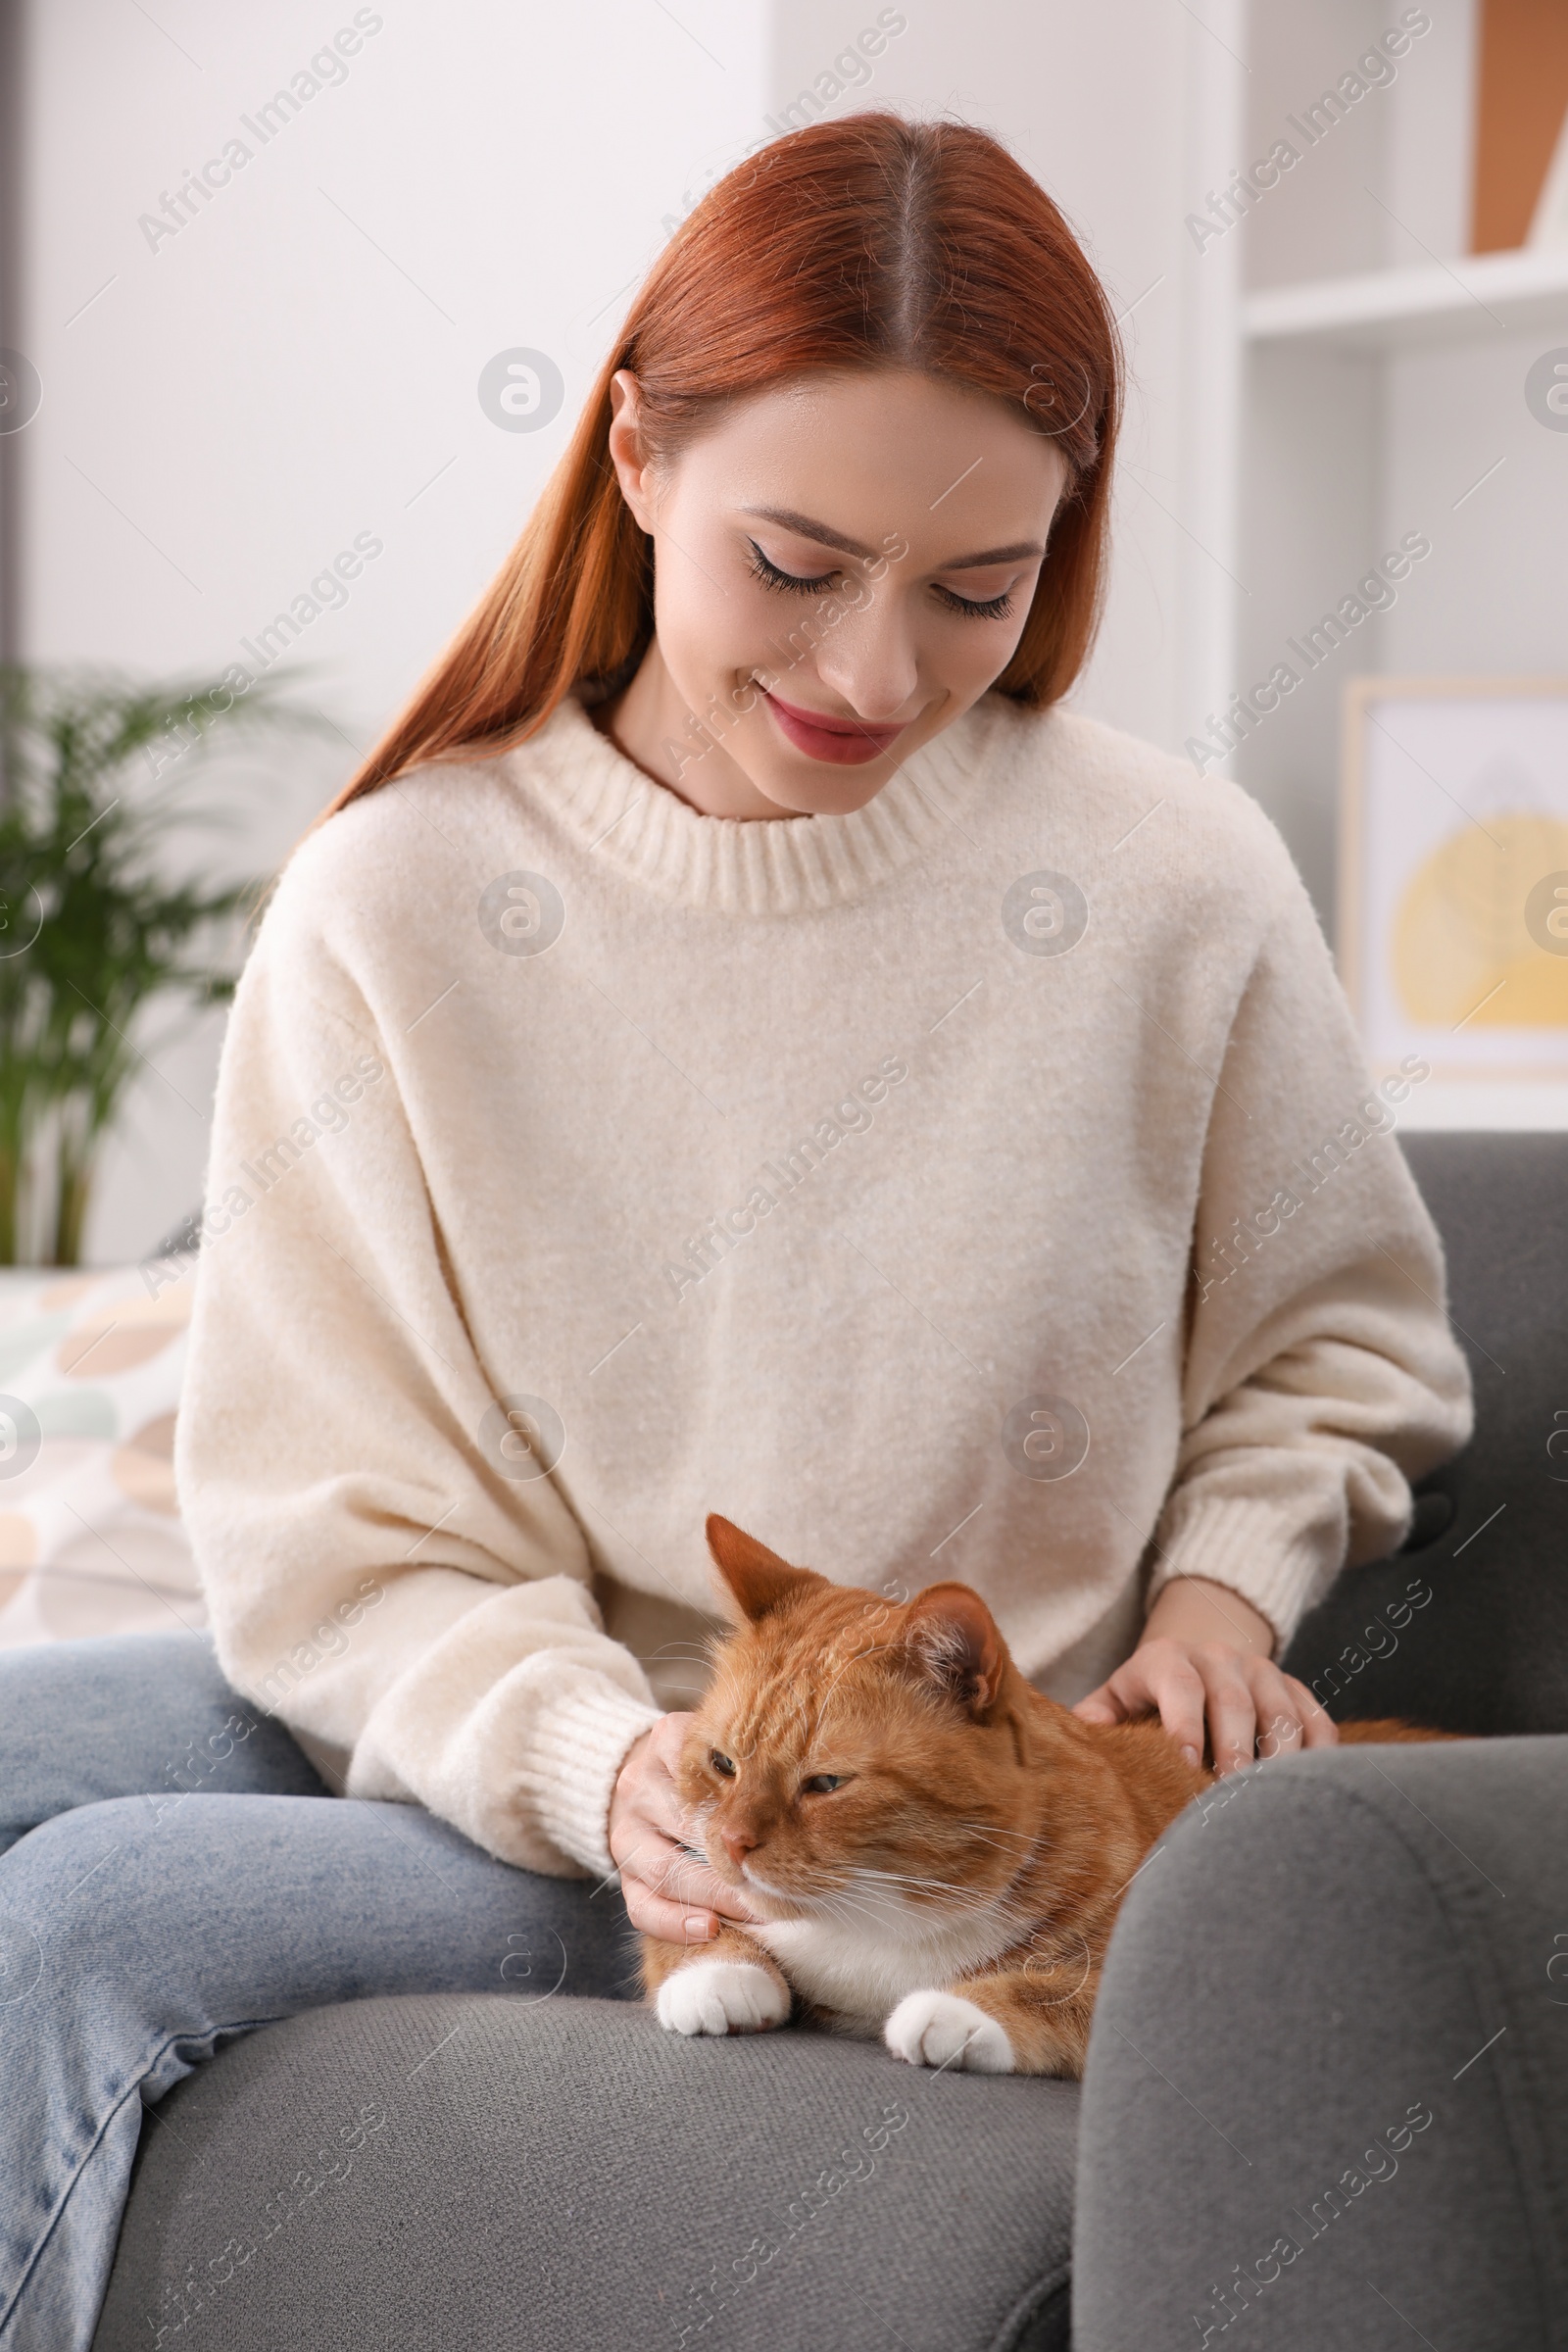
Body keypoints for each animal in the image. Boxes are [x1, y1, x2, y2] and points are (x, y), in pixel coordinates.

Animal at [644, 1505, 1457, 2079]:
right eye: (722, 1764)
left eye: (825, 1784)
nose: (733, 1843)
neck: (879, 1920)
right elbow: (689, 1930)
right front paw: (719, 1975)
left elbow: (1061, 1988)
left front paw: (954, 2011)